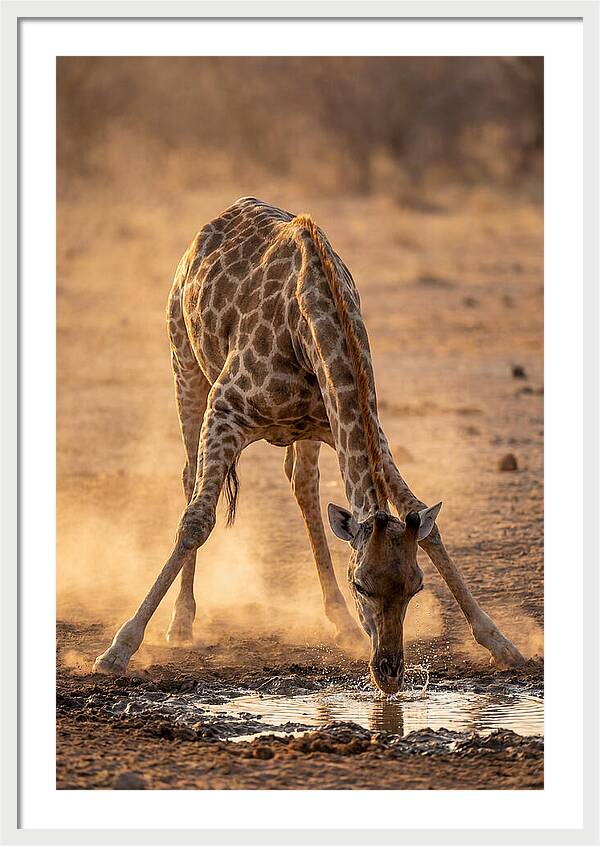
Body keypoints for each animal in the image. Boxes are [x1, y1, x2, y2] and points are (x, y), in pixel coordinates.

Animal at [93, 197, 525, 689]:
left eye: (415, 586)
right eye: (362, 584)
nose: (389, 673)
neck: (312, 323)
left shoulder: (358, 425)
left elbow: (425, 524)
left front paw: (501, 642)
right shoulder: (225, 410)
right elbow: (197, 522)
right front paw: (119, 648)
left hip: (305, 431)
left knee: (302, 484)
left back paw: (340, 622)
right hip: (184, 364)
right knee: (190, 479)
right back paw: (181, 623)